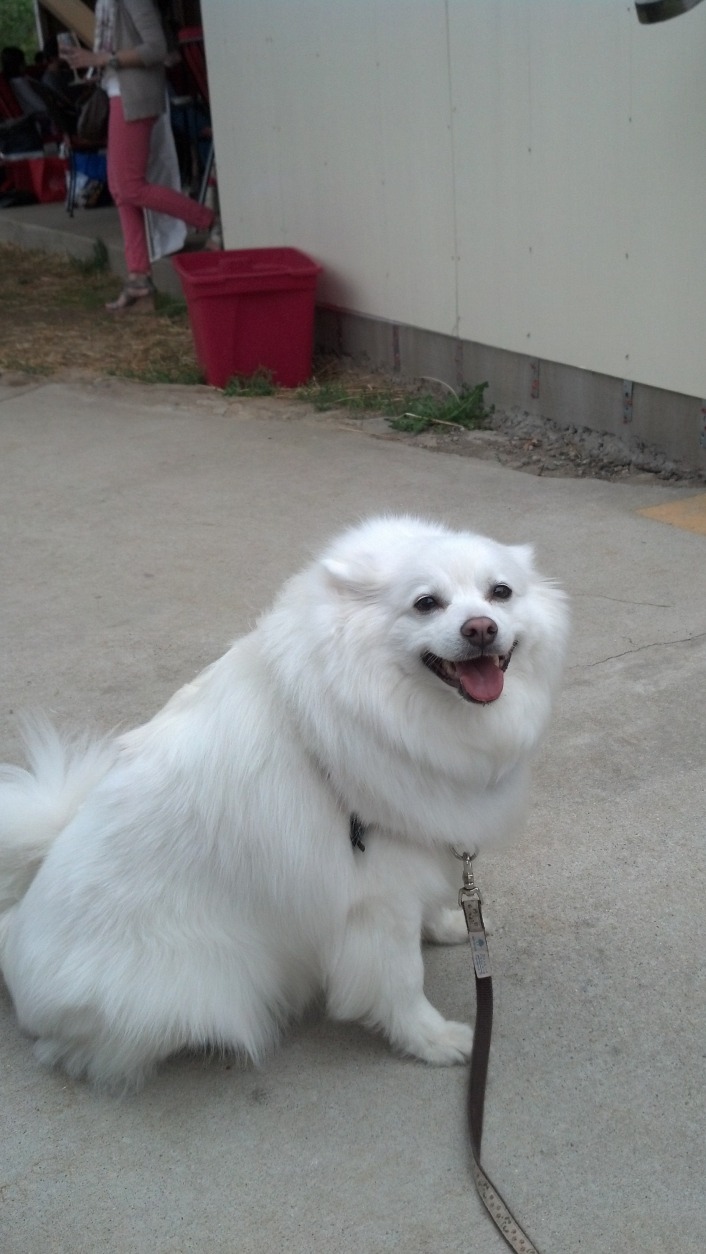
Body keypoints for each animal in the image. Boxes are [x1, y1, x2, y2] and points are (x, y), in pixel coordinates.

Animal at [0, 516, 568, 1089]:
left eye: (500, 593)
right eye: (426, 603)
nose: (481, 628)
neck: (386, 710)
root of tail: (13, 941)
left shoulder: (420, 846)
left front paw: (453, 926)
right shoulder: (377, 897)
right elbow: (402, 979)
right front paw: (432, 1041)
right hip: (186, 994)